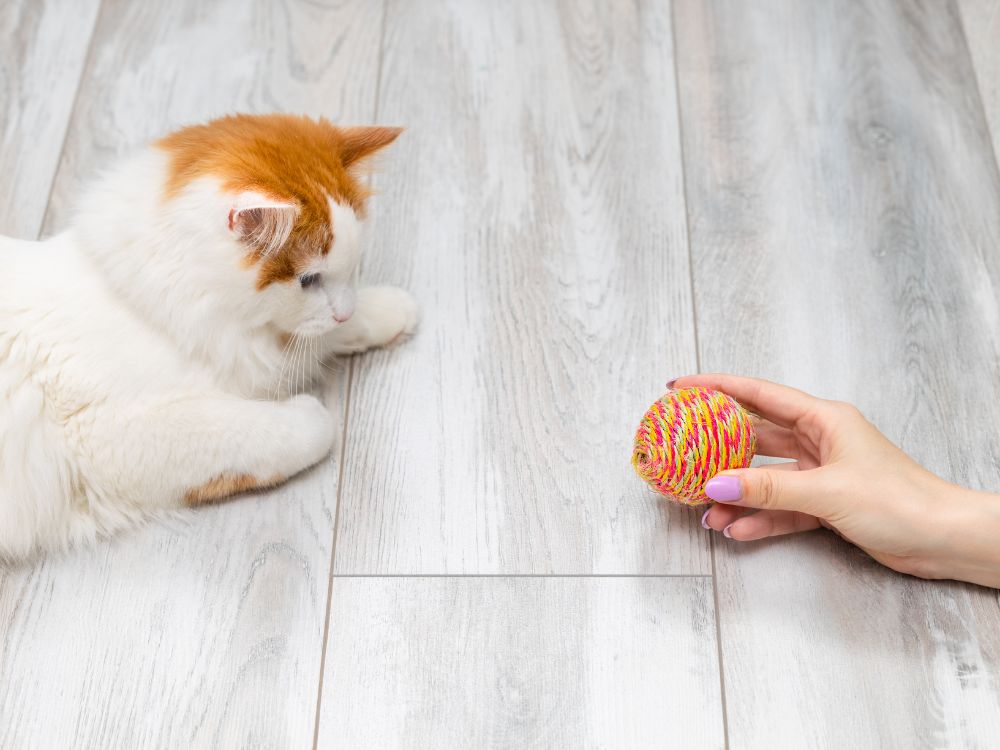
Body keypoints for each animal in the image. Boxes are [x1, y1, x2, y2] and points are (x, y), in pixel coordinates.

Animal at [0, 114, 418, 560]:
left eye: (350, 268)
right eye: (308, 280)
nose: (344, 312)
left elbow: (316, 336)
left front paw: (390, 308)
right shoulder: (105, 433)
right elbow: (284, 429)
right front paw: (311, 410)